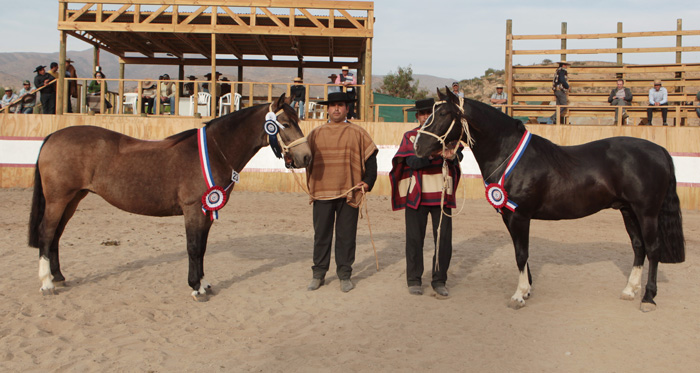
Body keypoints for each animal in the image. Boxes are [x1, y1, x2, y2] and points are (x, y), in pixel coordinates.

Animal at [28, 94, 310, 300]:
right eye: (285, 124)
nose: (306, 157)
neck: (214, 151)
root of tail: (53, 136)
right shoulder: (194, 208)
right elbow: (194, 247)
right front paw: (195, 287)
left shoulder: (206, 211)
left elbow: (202, 248)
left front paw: (204, 283)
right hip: (58, 199)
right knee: (46, 232)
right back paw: (46, 283)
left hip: (73, 198)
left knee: (56, 235)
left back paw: (58, 277)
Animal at [416, 89, 684, 310]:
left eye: (443, 113)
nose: (418, 145)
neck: (509, 154)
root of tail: (660, 150)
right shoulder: (509, 216)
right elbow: (520, 253)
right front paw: (527, 290)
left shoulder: (520, 216)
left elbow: (521, 254)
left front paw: (518, 296)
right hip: (628, 211)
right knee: (639, 247)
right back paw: (629, 290)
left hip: (647, 213)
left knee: (653, 249)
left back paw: (648, 298)